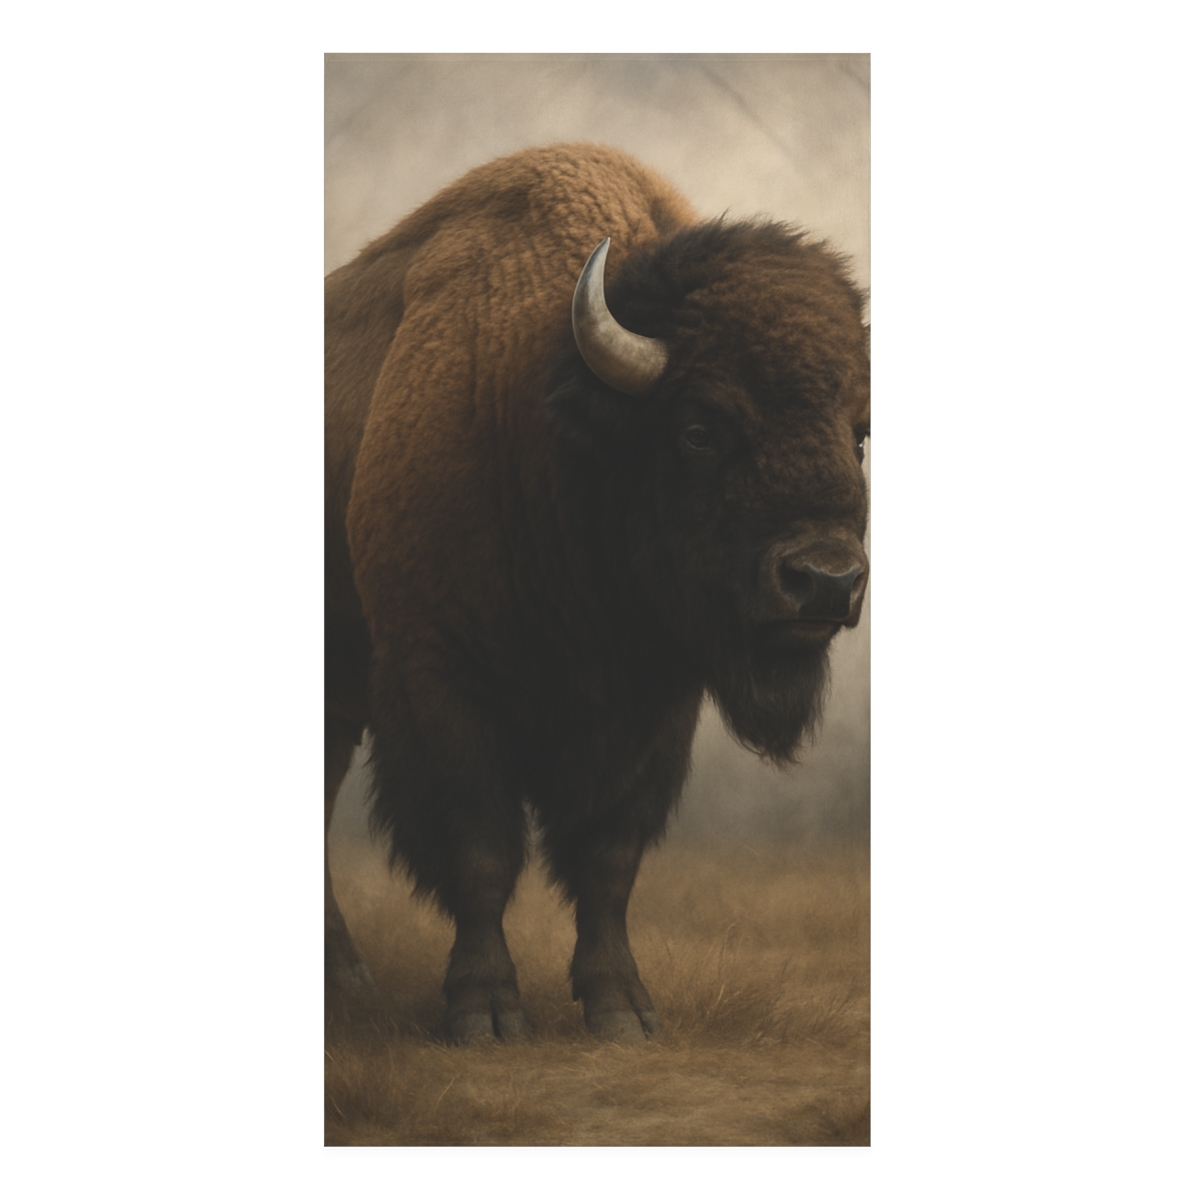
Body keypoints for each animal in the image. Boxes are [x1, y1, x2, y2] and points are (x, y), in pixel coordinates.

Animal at [325, 143, 869, 1043]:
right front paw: (485, 1014)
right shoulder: (440, 681)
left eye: (859, 434)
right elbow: (480, 851)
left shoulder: (656, 707)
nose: (827, 579)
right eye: (699, 429)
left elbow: (608, 861)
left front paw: (623, 1011)